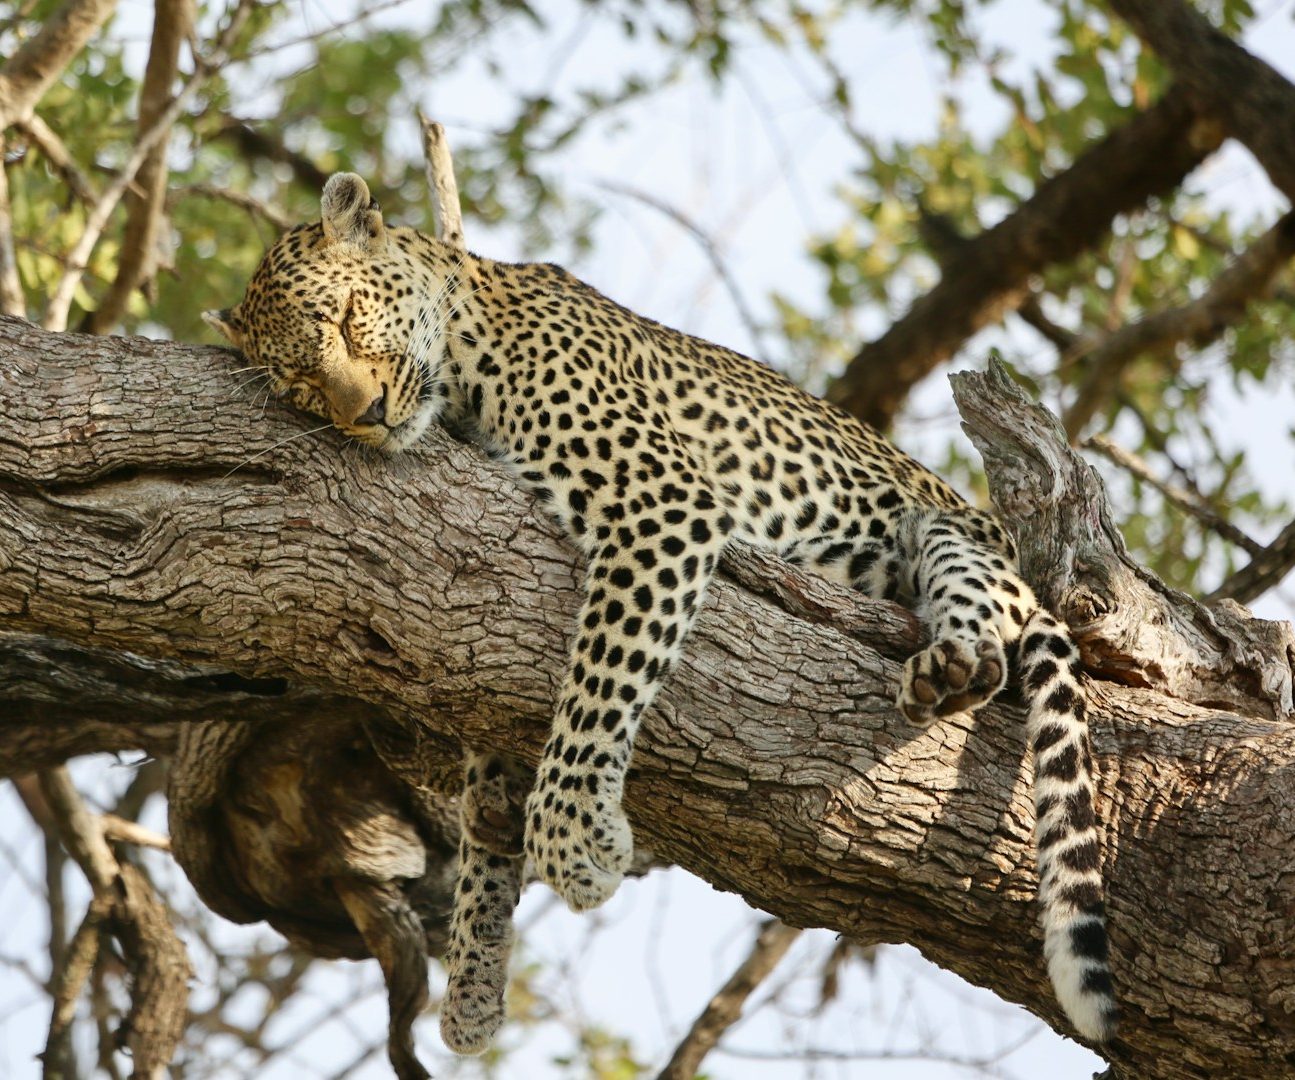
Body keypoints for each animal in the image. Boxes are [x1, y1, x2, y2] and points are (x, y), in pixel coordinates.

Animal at [206, 171, 1117, 1055]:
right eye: (298, 385)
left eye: (347, 319)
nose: (362, 415)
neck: (465, 345)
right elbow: (488, 784)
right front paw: (473, 970)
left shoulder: (658, 501)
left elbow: (598, 679)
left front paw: (572, 834)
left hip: (948, 530)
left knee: (999, 611)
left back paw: (956, 659)